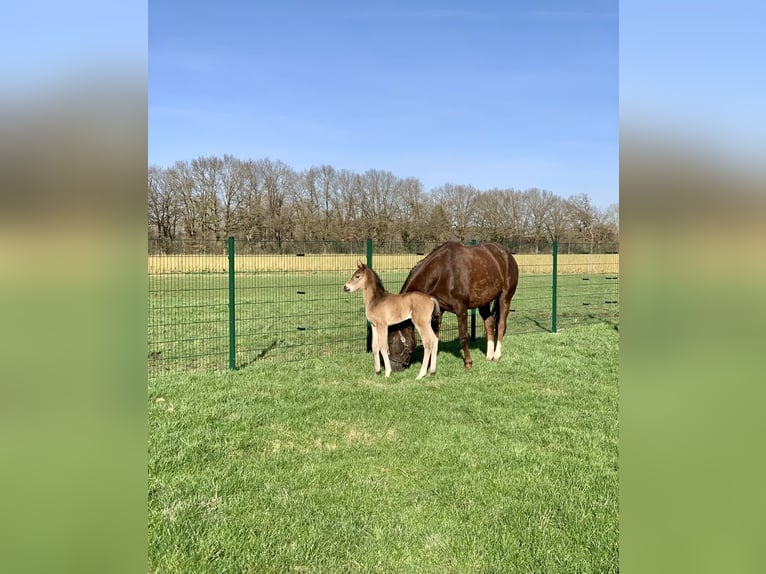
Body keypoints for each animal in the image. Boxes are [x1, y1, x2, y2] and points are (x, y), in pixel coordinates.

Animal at [388, 241, 520, 372]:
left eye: (391, 341)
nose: (394, 368)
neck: (442, 272)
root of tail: (507, 254)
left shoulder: (461, 309)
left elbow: (463, 336)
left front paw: (468, 363)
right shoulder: (439, 311)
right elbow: (434, 337)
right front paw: (431, 365)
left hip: (505, 297)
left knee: (501, 325)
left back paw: (497, 355)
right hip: (484, 301)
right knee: (489, 324)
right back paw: (489, 355)